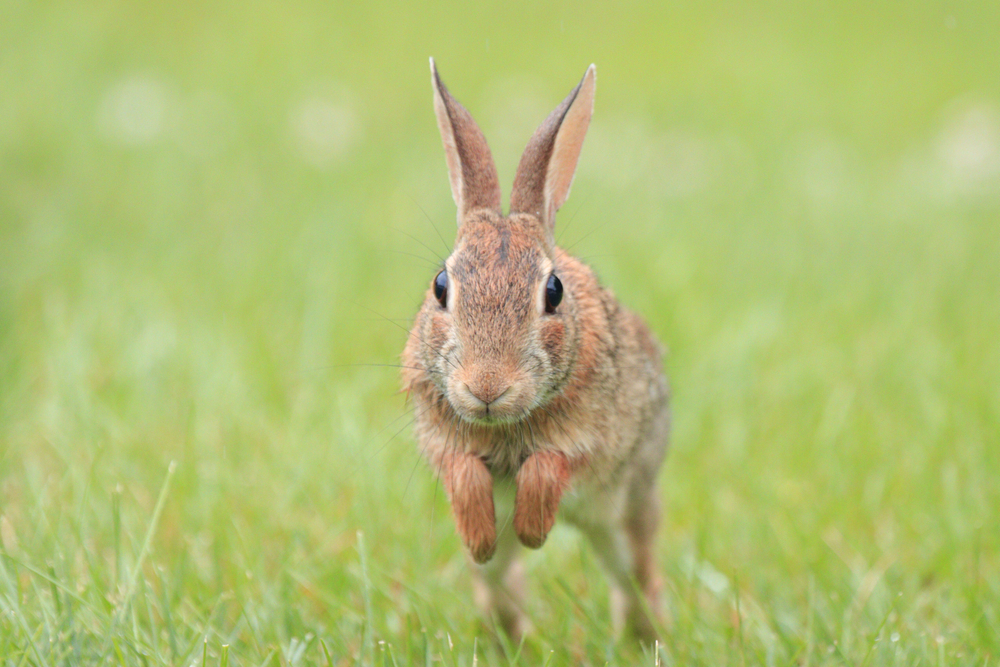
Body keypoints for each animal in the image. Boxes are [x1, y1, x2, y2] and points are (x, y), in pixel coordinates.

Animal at [400, 60, 672, 644]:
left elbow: (550, 464)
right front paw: (482, 534)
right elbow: (461, 470)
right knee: (500, 583)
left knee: (637, 574)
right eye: (440, 286)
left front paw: (531, 530)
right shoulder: (439, 437)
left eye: (554, 291)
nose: (486, 387)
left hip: (626, 509)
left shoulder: (595, 442)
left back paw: (646, 637)